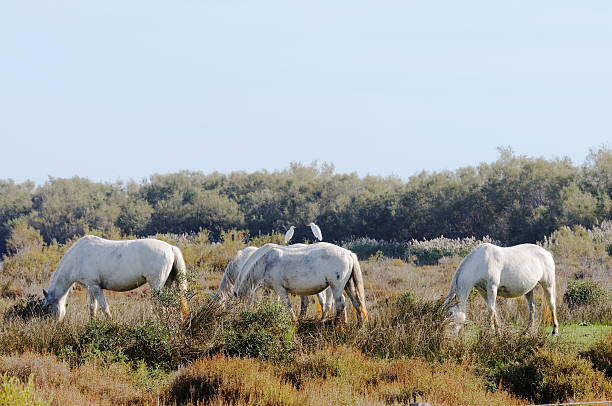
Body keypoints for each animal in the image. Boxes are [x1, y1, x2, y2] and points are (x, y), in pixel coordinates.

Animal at [41, 236, 188, 322]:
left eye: (47, 306)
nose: (51, 325)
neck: (78, 257)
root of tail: (171, 248)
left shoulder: (96, 287)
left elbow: (105, 308)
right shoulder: (91, 287)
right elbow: (92, 308)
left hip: (156, 286)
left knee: (161, 307)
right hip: (168, 284)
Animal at [234, 243, 368, 326]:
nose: (238, 318)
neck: (266, 262)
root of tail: (349, 253)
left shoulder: (280, 289)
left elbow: (287, 305)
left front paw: (294, 320)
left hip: (336, 286)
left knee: (341, 304)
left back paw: (337, 324)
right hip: (348, 285)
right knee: (356, 302)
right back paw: (358, 325)